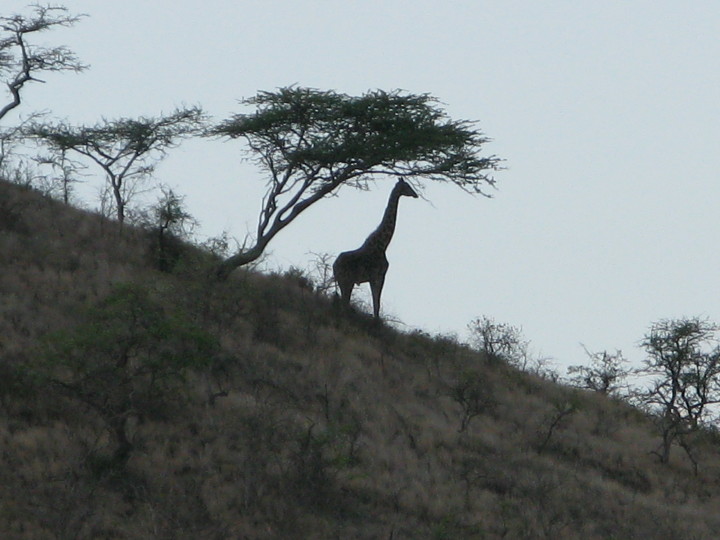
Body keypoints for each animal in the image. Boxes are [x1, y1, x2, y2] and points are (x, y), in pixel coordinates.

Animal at [333, 178, 418, 319]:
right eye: (407, 186)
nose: (415, 194)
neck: (383, 245)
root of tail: (334, 265)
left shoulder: (374, 278)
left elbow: (376, 304)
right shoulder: (378, 276)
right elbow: (376, 304)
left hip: (344, 282)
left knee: (343, 303)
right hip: (346, 281)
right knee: (344, 304)